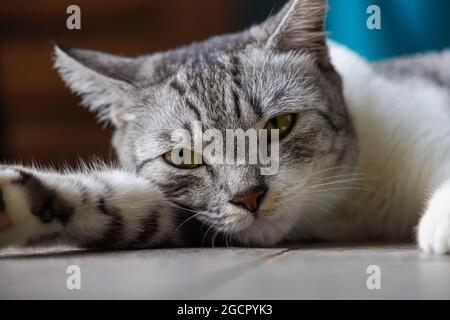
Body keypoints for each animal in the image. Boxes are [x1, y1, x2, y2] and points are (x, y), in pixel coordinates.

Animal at [0, 0, 450, 254]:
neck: (349, 209)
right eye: (183, 156)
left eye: (280, 124)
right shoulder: (189, 217)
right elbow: (121, 206)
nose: (249, 197)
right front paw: (16, 202)